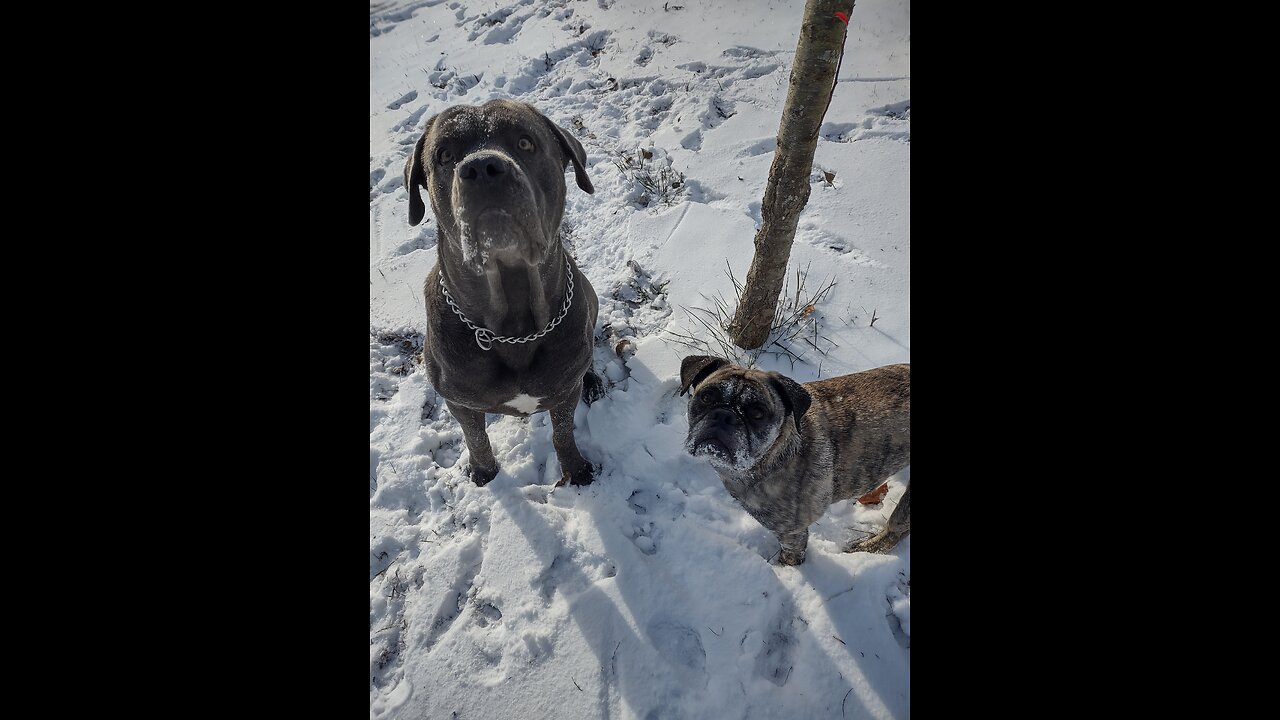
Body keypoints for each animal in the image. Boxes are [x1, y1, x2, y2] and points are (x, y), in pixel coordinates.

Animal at [404, 99, 604, 481]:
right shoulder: (459, 401)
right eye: (445, 155)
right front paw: (484, 472)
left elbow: (562, 431)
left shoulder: (563, 393)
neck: (514, 324)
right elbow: (475, 437)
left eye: (525, 142)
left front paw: (575, 470)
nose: (482, 167)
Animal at [680, 356, 911, 563]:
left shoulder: (792, 534)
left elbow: (790, 556)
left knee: (896, 529)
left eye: (757, 413)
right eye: (706, 397)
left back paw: (865, 548)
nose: (724, 416)